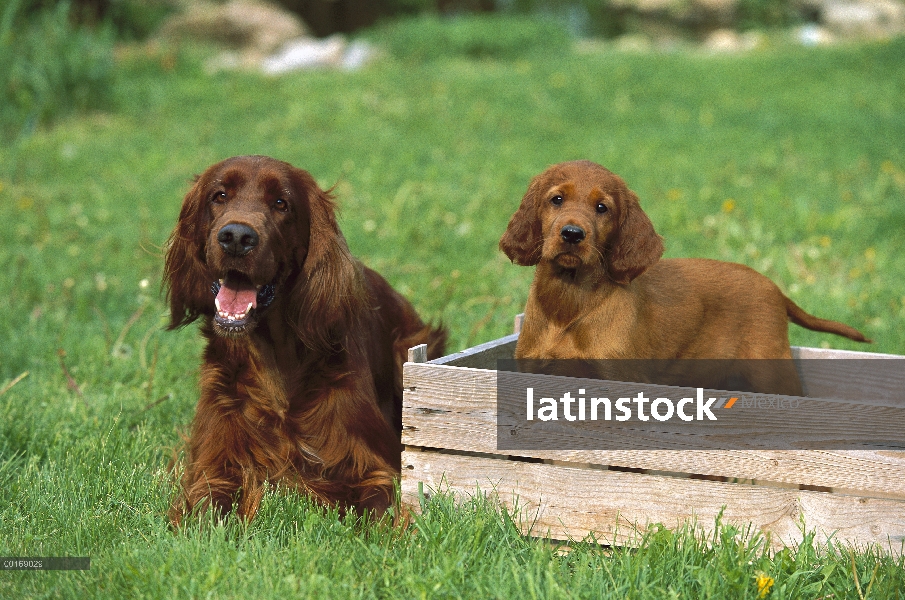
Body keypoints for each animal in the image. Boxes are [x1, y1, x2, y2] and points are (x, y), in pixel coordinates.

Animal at [164, 157, 446, 524]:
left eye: (281, 203)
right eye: (219, 195)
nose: (236, 237)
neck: (277, 360)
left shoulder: (372, 465)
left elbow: (379, 506)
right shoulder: (215, 463)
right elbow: (207, 505)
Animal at [502, 161, 868, 394]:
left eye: (602, 208)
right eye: (556, 199)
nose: (572, 234)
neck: (570, 299)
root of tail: (774, 289)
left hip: (770, 370)